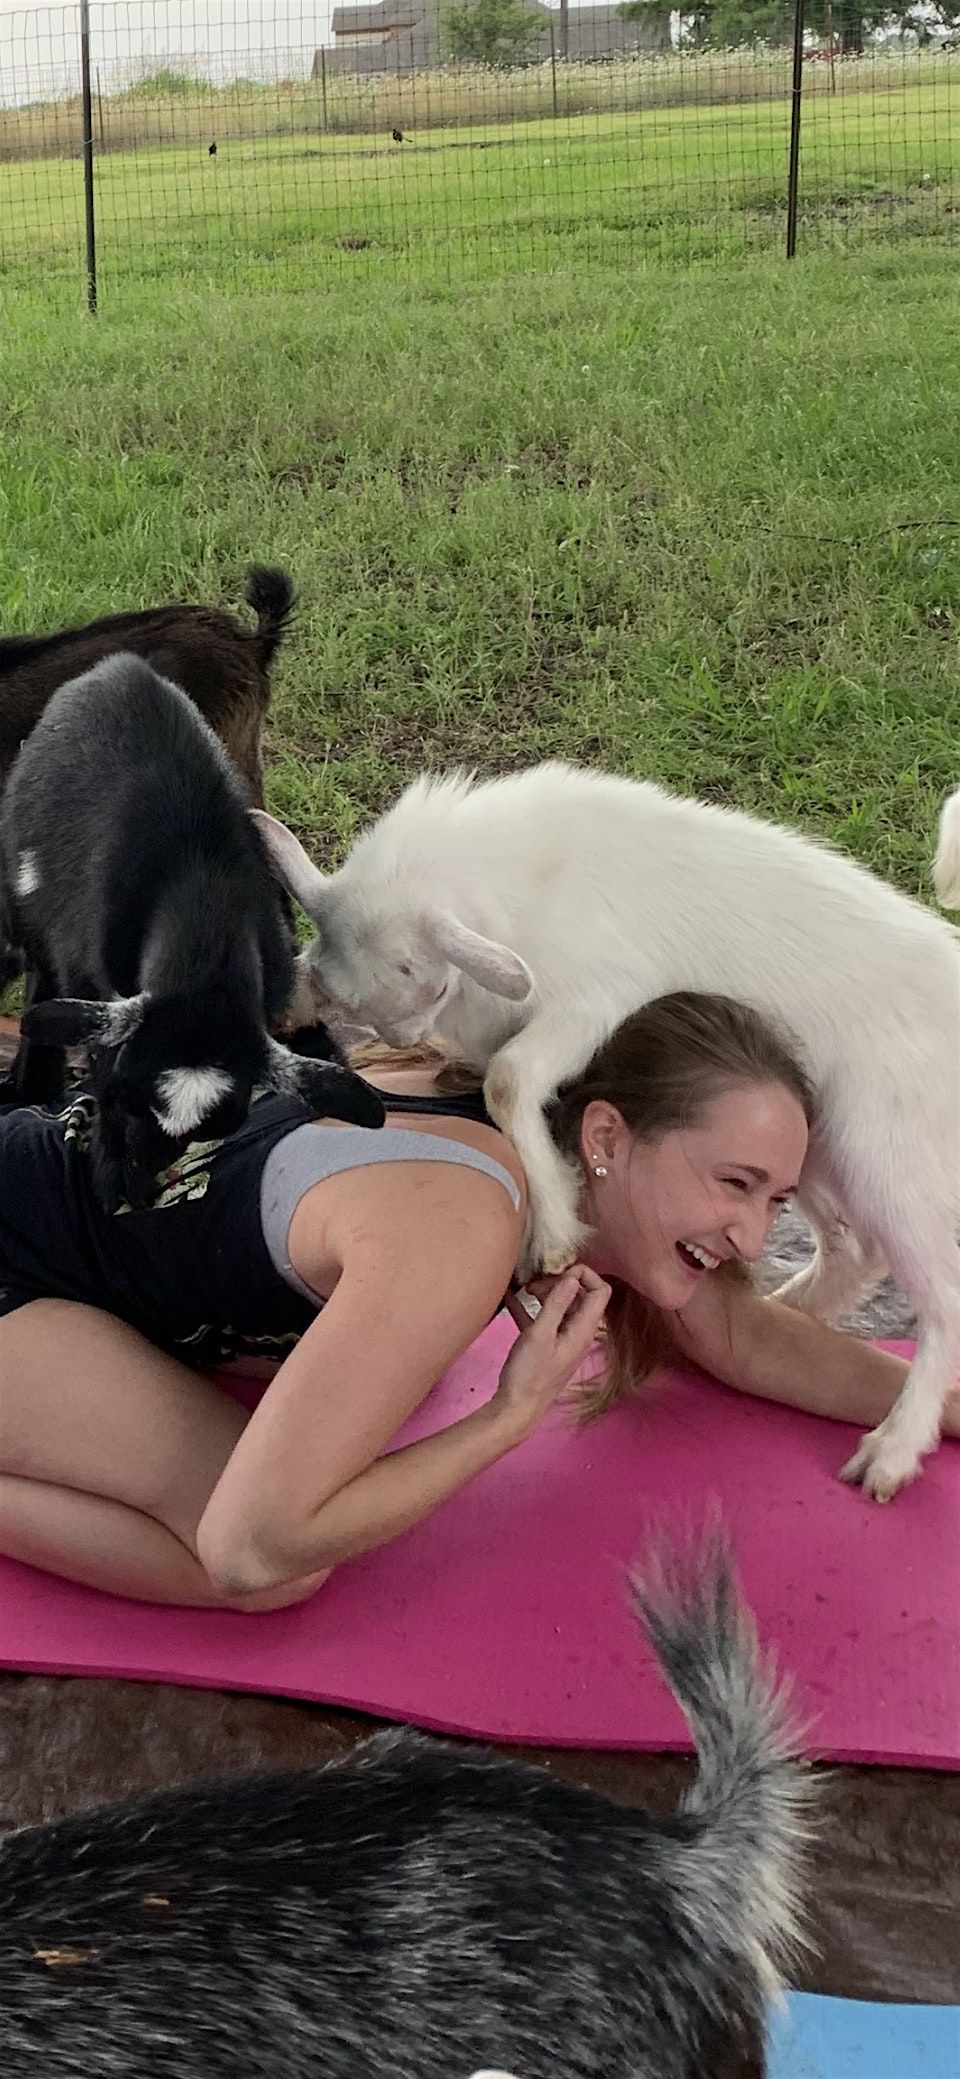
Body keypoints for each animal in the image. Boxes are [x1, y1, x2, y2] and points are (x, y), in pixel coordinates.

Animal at [0, 648, 382, 1205]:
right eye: (127, 1096)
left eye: (216, 1127)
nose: (146, 1178)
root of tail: (121, 666)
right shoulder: (90, 981)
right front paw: (110, 1173)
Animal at [253, 765, 960, 1496]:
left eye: (428, 984)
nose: (401, 1038)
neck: (533, 877)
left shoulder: (595, 999)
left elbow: (508, 1078)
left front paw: (553, 1232)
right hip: (815, 1146)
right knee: (854, 1248)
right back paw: (794, 1306)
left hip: (889, 1153)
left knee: (943, 1294)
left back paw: (892, 1450)